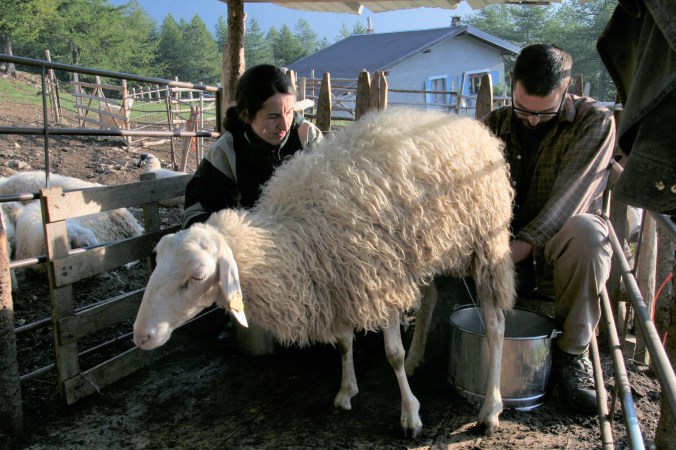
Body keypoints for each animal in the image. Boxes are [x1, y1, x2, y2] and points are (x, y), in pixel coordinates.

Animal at [133, 108, 516, 438]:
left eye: (197, 276)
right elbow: (344, 343)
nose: (141, 336)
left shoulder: (378, 277)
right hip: (424, 250)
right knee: (431, 297)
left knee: (495, 323)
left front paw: (410, 415)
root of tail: (463, 122)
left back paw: (490, 411)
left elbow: (391, 353)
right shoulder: (337, 279)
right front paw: (347, 391)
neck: (295, 233)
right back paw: (417, 358)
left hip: (485, 244)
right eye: (157, 261)